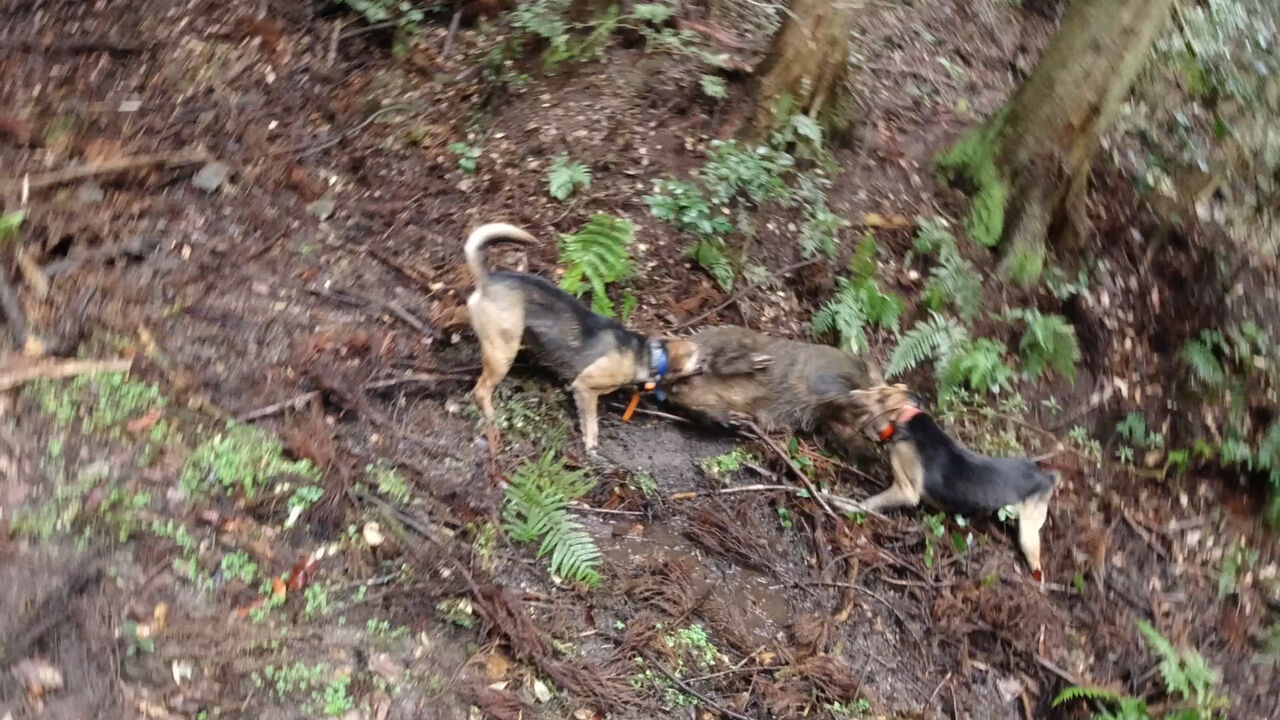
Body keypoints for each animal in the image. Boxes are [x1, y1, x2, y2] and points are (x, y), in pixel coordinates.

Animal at [463, 221, 701, 450]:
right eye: (699, 358)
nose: (705, 362)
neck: (648, 354)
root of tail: (487, 281)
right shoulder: (585, 386)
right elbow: (591, 422)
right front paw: (591, 446)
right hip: (502, 353)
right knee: (481, 390)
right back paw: (493, 418)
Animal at [849, 384, 1059, 579]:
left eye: (880, 396)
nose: (852, 393)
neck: (906, 418)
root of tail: (1047, 477)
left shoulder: (907, 490)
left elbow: (870, 502)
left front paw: (852, 506)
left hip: (1028, 533)